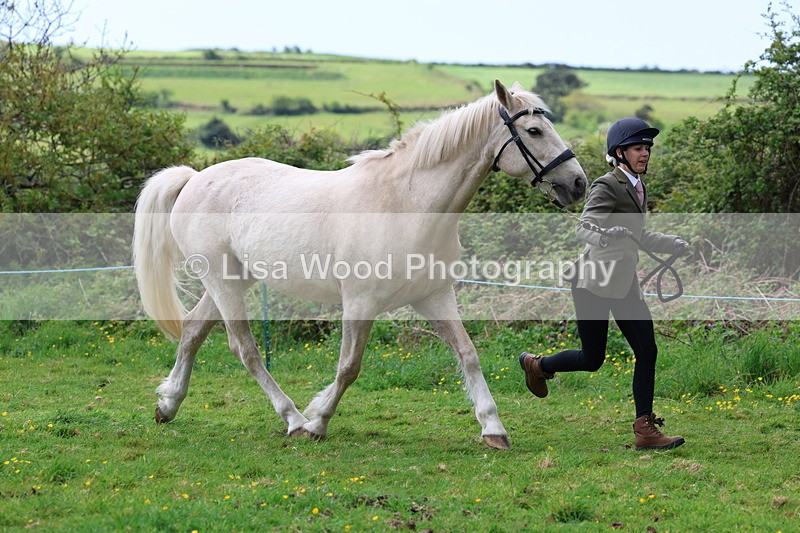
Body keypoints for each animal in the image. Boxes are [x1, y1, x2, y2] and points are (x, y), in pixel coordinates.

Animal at [132, 80, 587, 450]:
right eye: (534, 131)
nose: (577, 183)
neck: (406, 204)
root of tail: (193, 178)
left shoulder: (434, 297)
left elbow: (468, 353)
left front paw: (493, 428)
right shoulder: (360, 303)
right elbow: (349, 367)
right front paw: (317, 421)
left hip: (230, 282)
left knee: (193, 330)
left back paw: (168, 405)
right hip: (223, 283)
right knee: (244, 349)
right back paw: (292, 419)